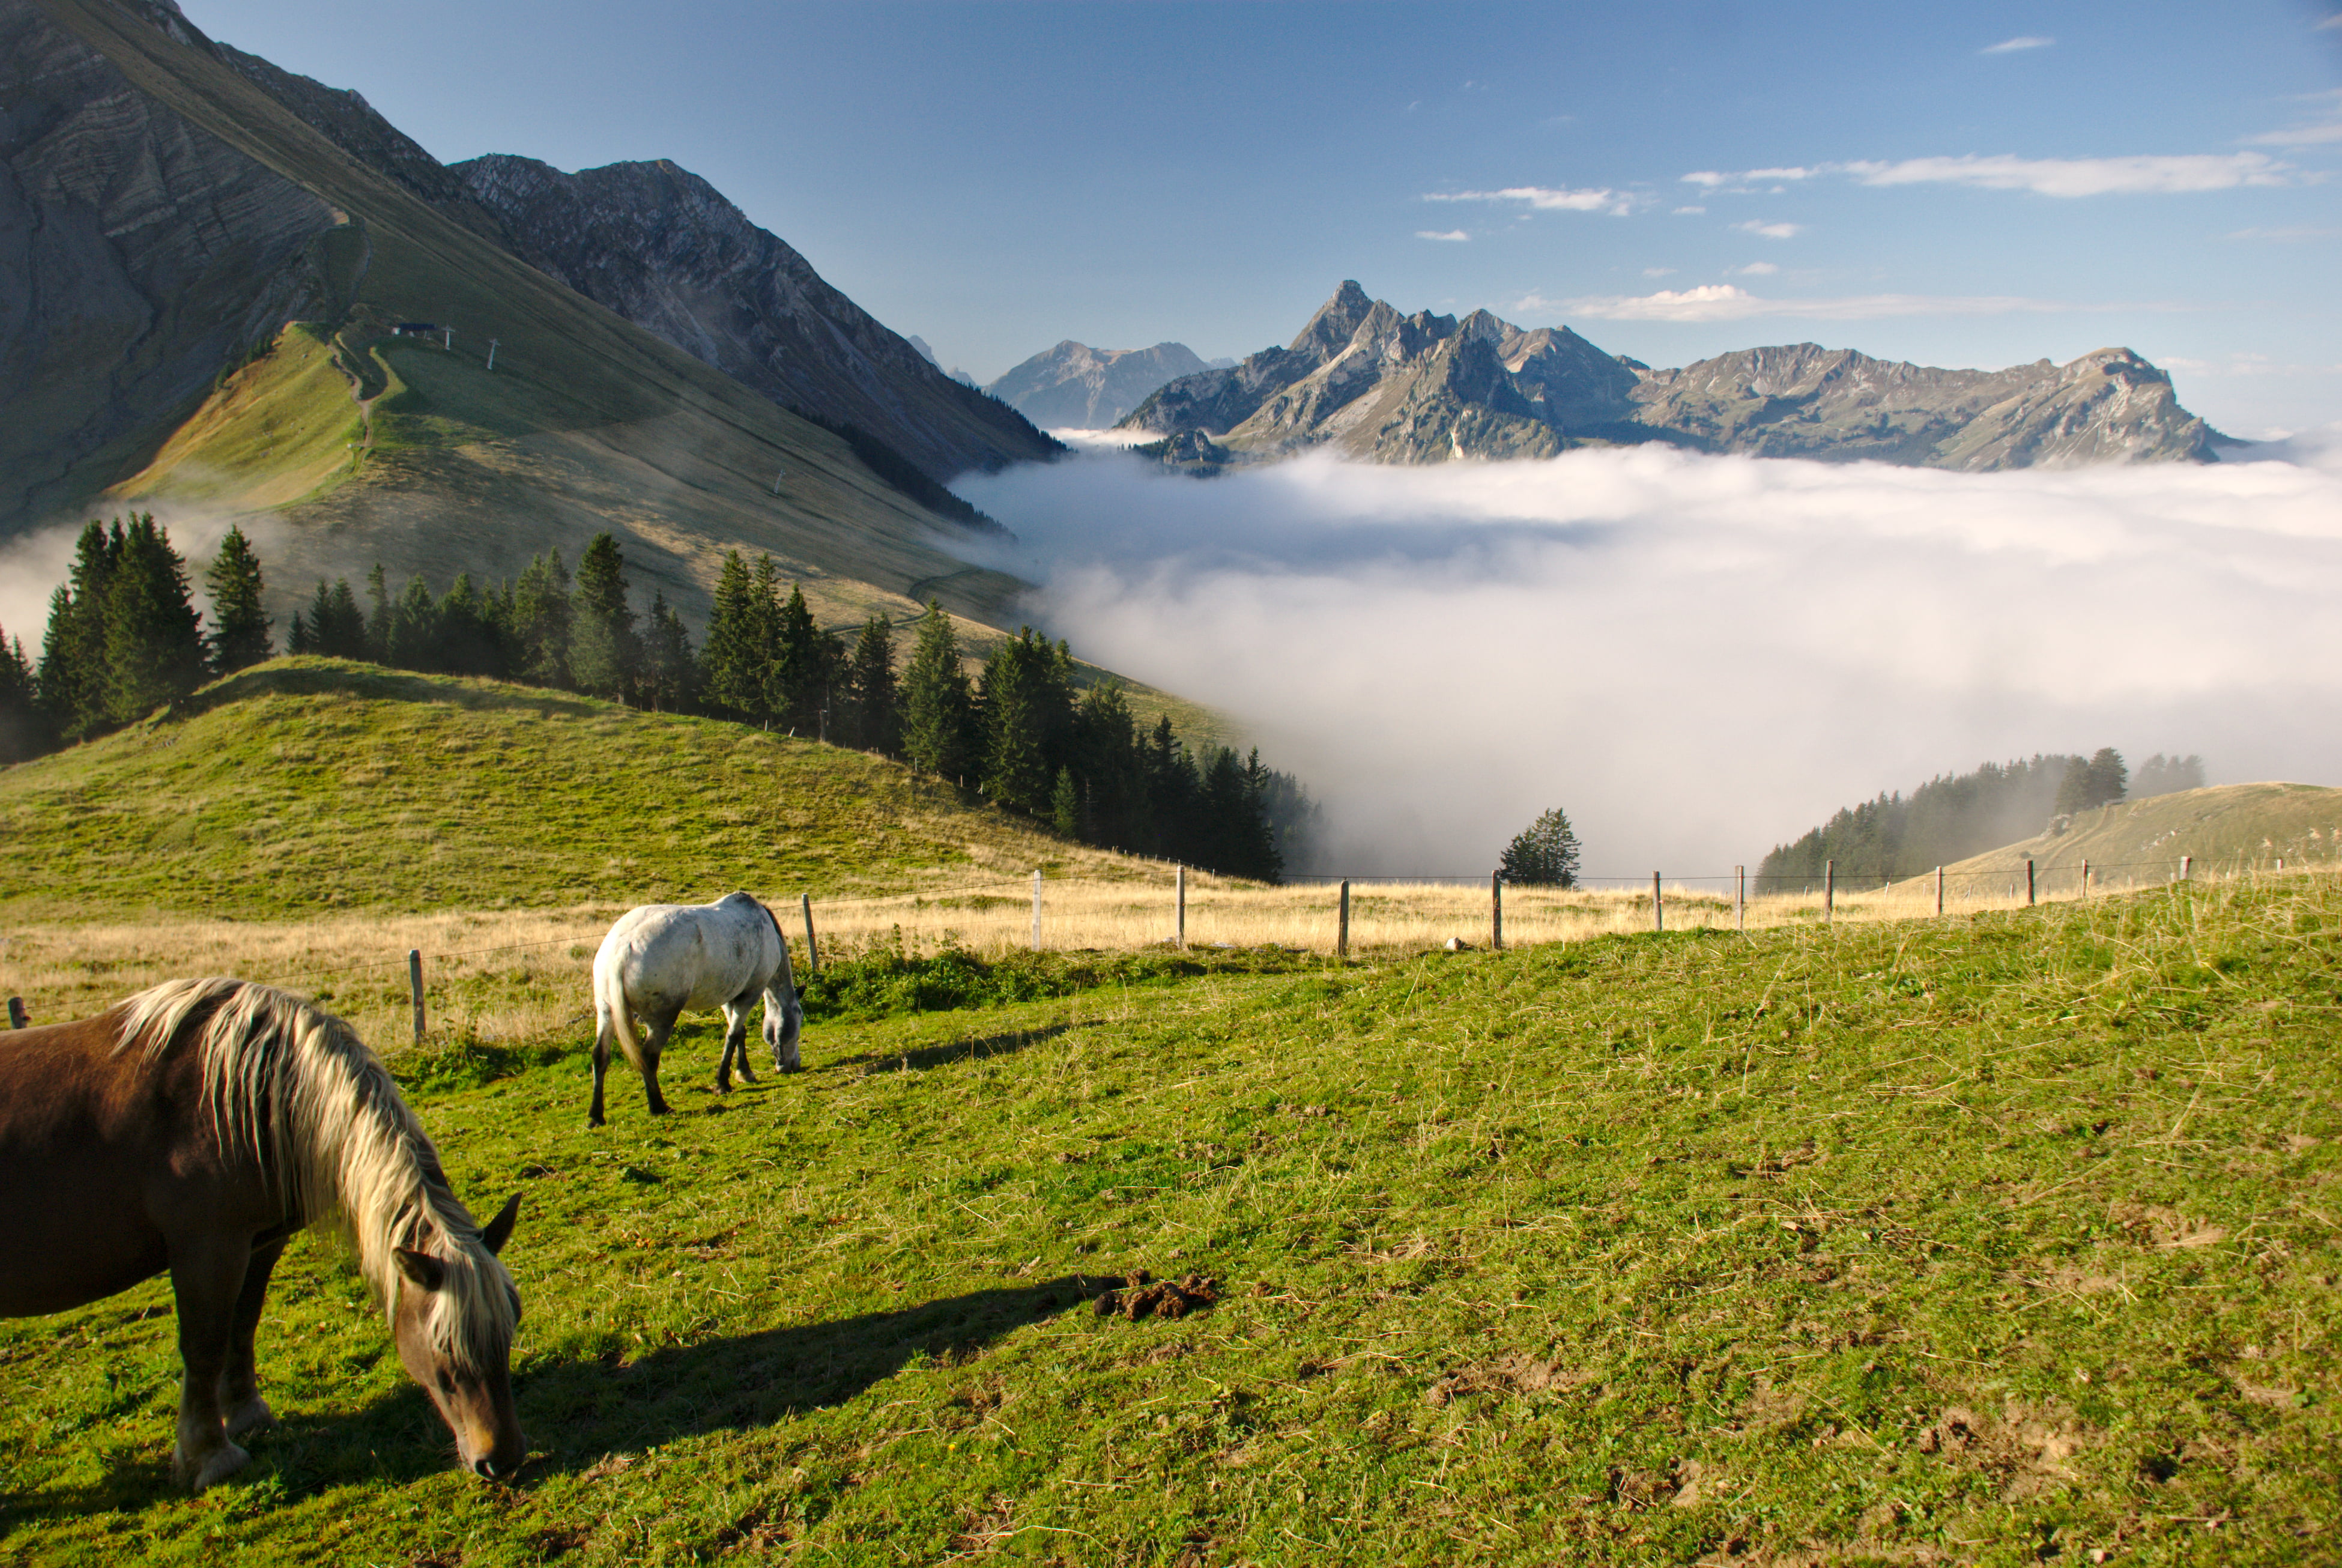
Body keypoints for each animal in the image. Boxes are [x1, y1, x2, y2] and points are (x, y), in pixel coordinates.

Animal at [0, 978, 525, 1491]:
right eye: (445, 1351)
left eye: (510, 1327)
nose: (502, 1460)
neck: (246, 1098)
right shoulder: (208, 1247)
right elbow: (205, 1345)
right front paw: (209, 1456)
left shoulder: (258, 1242)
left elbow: (243, 1325)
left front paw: (249, 1415)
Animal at [589, 891, 803, 1126]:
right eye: (800, 1019)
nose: (794, 1065)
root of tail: (624, 946)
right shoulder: (750, 993)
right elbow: (733, 1035)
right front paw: (722, 1084)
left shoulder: (729, 996)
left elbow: (739, 1033)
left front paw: (744, 1073)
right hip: (661, 1020)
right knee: (648, 1057)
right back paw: (659, 1106)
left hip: (606, 1012)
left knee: (600, 1056)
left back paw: (596, 1116)